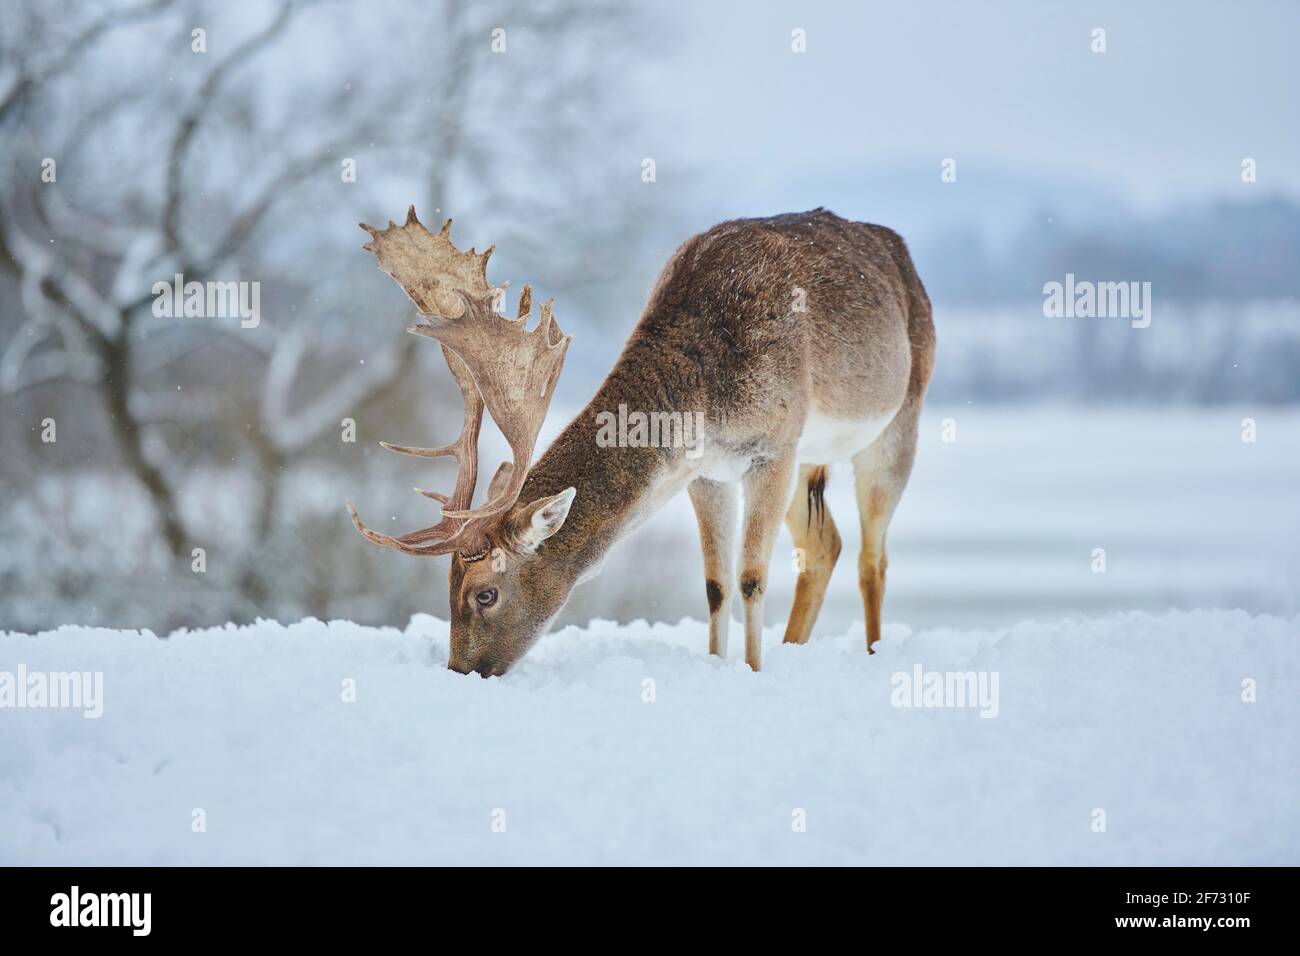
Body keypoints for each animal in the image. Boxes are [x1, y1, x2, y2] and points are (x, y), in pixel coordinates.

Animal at [345, 206, 935, 676]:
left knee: (873, 557)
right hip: (811, 460)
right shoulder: (707, 470)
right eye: (445, 587)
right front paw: (717, 664)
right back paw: (795, 646)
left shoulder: (773, 447)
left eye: (484, 594)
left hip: (900, 416)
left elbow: (751, 578)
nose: (461, 671)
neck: (706, 398)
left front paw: (753, 672)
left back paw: (874, 654)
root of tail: (904, 253)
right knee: (823, 543)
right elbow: (715, 584)